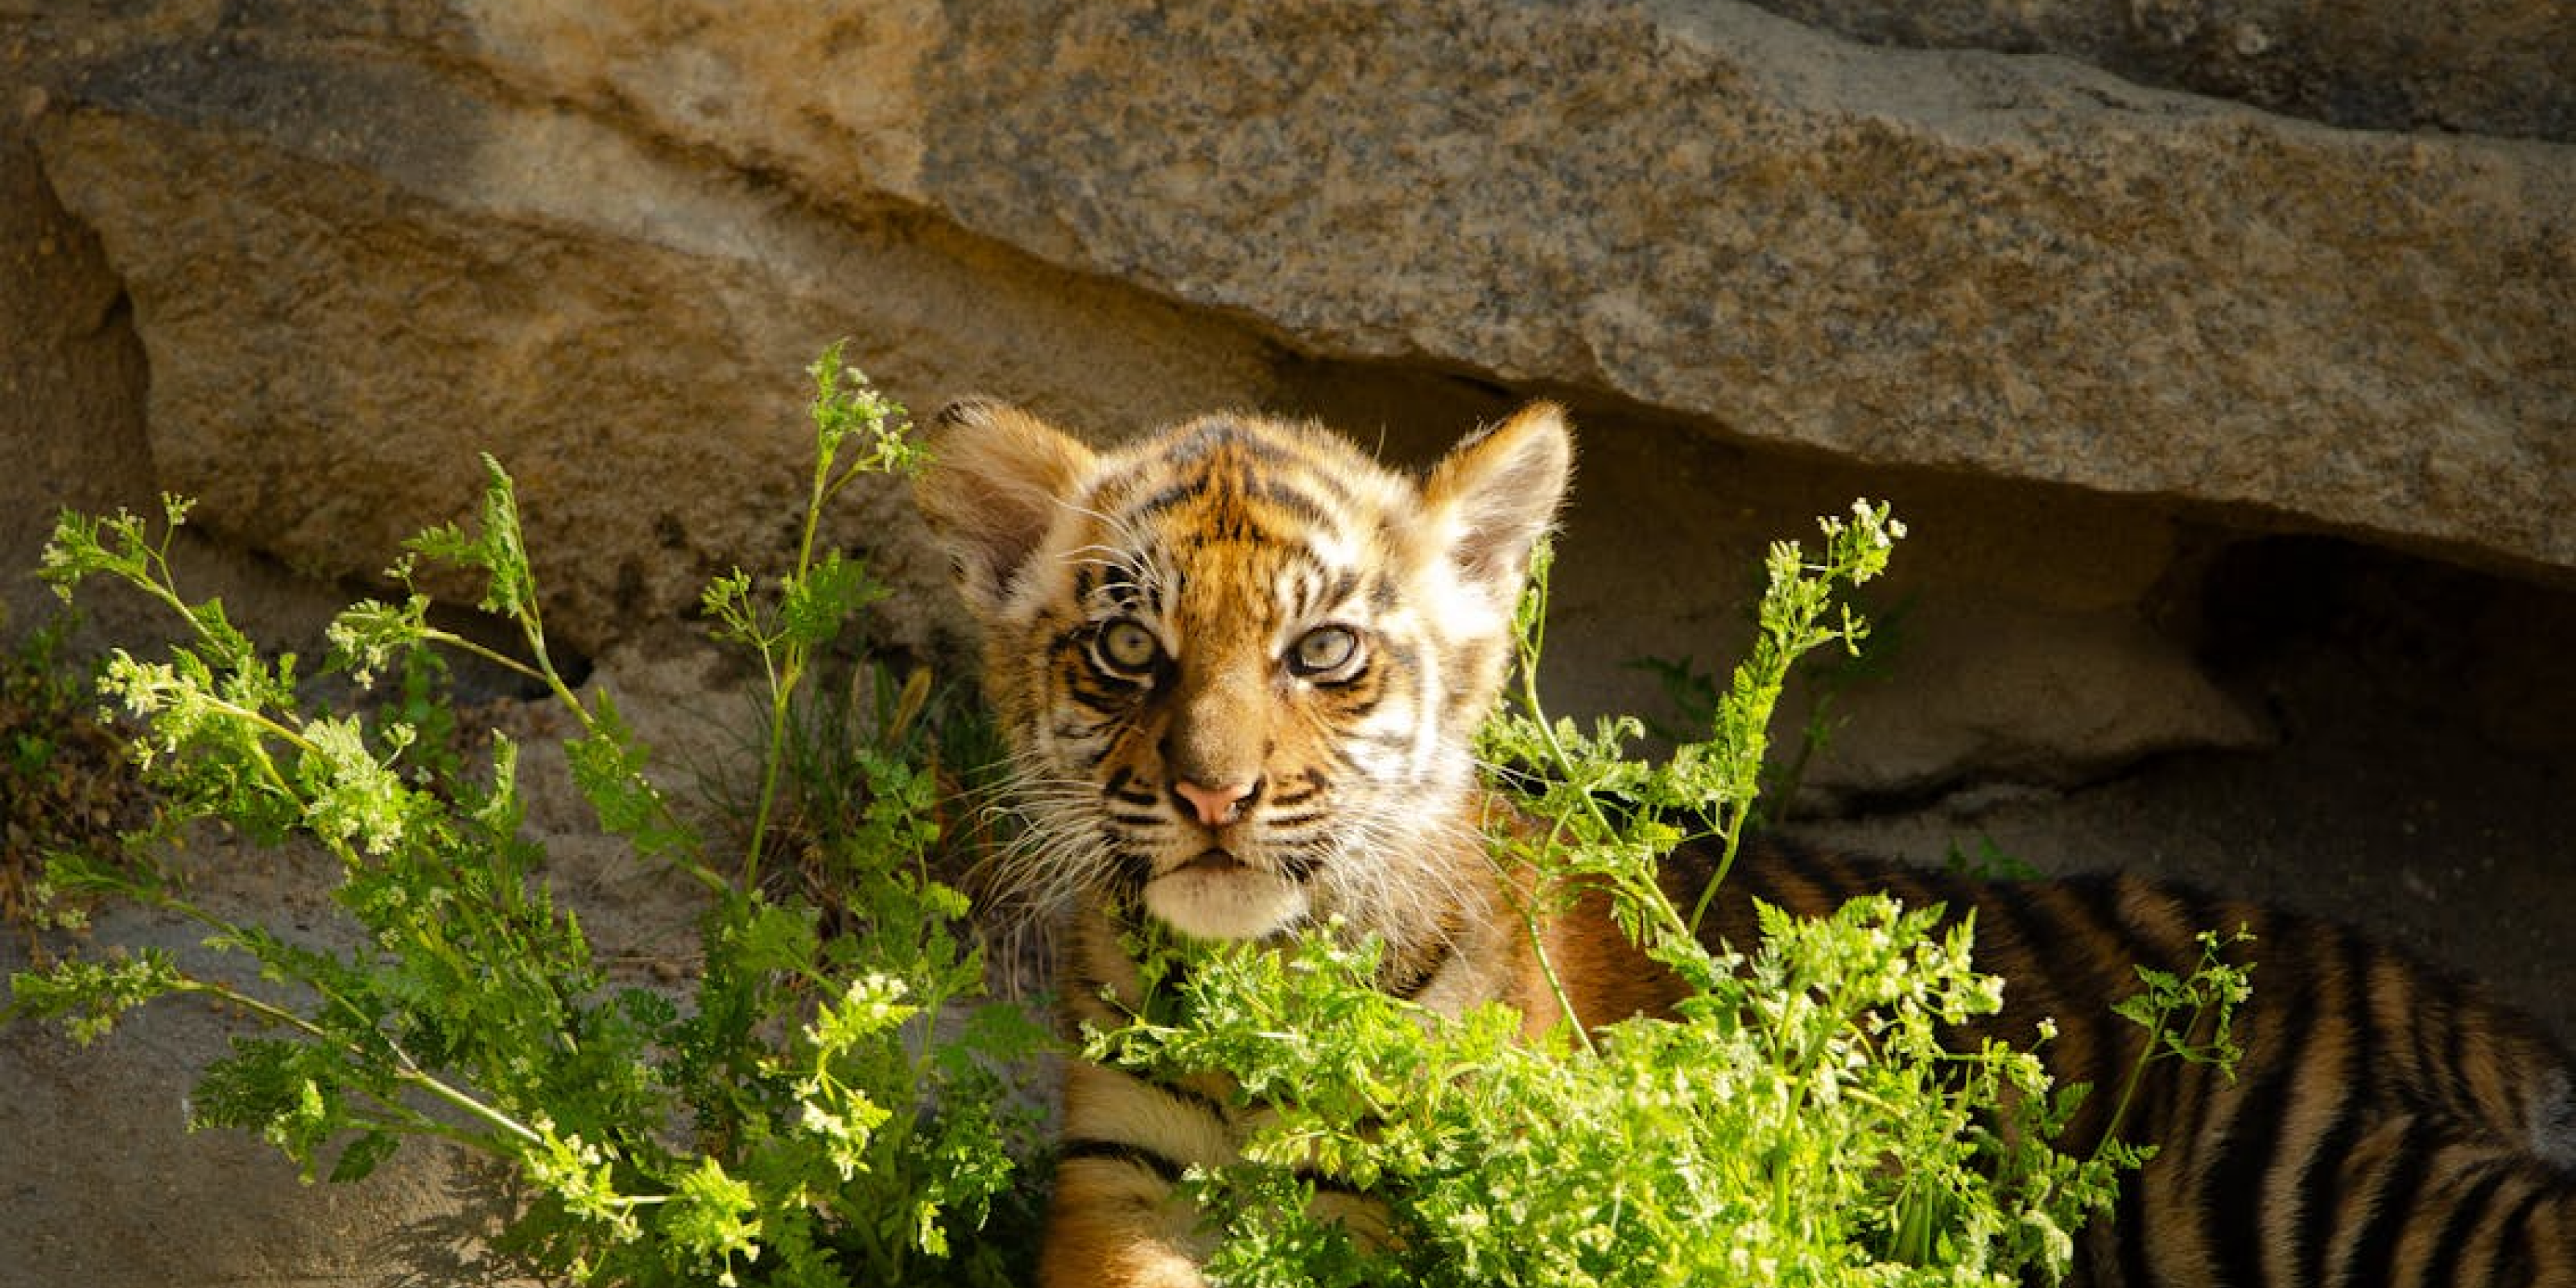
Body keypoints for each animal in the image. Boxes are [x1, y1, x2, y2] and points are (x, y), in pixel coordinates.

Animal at [912, 397, 2576, 1287]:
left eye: (1322, 652)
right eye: (1130, 649)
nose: (1214, 800)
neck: (1260, 983)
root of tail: (2433, 995)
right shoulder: (1123, 1179)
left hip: (2318, 1186)